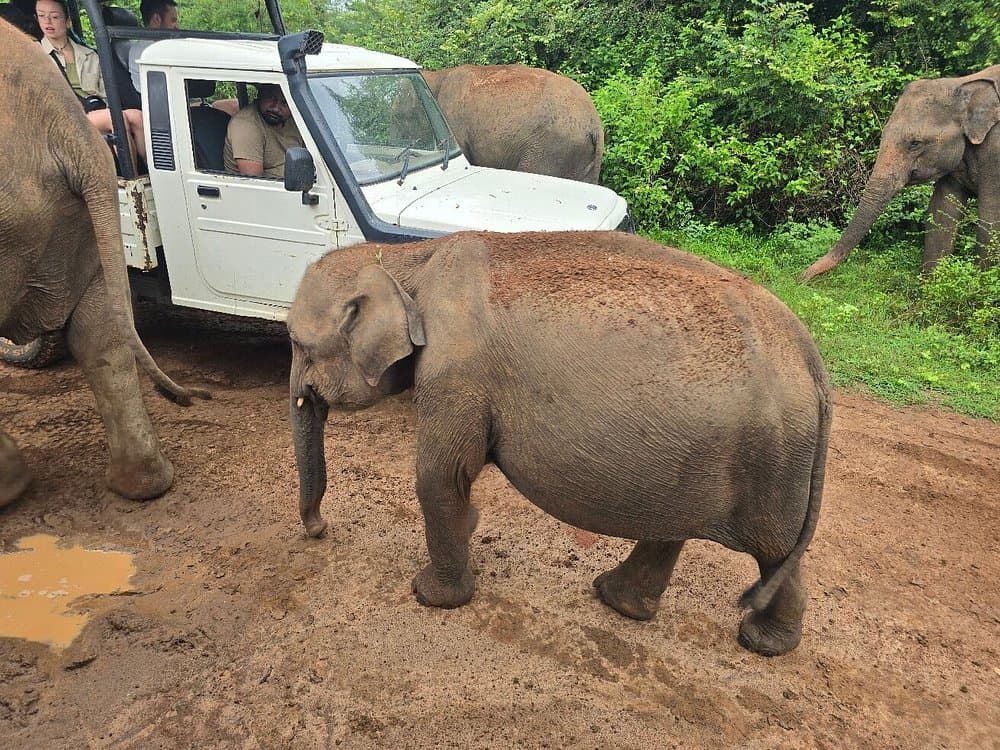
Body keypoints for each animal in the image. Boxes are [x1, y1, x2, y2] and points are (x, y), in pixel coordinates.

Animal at [287, 230, 831, 656]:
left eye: (296, 343)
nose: (319, 530)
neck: (410, 257)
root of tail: (812, 358)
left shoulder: (455, 372)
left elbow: (440, 477)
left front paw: (430, 596)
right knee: (678, 526)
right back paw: (619, 601)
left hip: (767, 459)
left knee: (774, 550)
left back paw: (761, 643)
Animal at [801, 64, 1000, 281]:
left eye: (915, 143)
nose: (801, 278)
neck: (963, 83)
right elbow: (941, 213)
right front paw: (930, 285)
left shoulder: (996, 151)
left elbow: (991, 216)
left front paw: (981, 283)